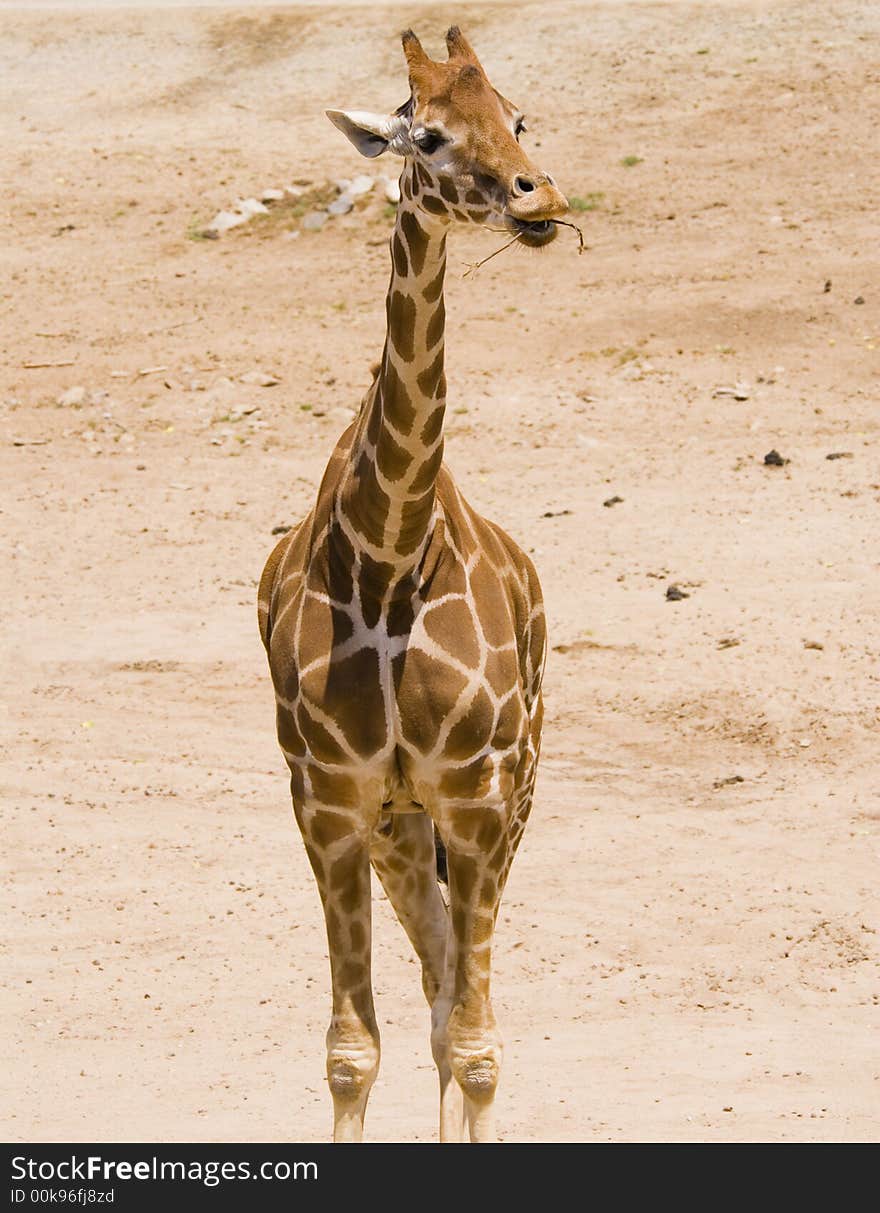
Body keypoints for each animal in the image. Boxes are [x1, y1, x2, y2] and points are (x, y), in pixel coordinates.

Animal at [257, 28, 565, 1145]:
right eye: (425, 135)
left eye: (517, 116)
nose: (537, 196)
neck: (389, 555)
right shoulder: (331, 801)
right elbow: (352, 1050)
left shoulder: (474, 793)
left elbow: (475, 1044)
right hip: (401, 824)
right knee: (436, 985)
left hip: (509, 792)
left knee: (457, 1006)